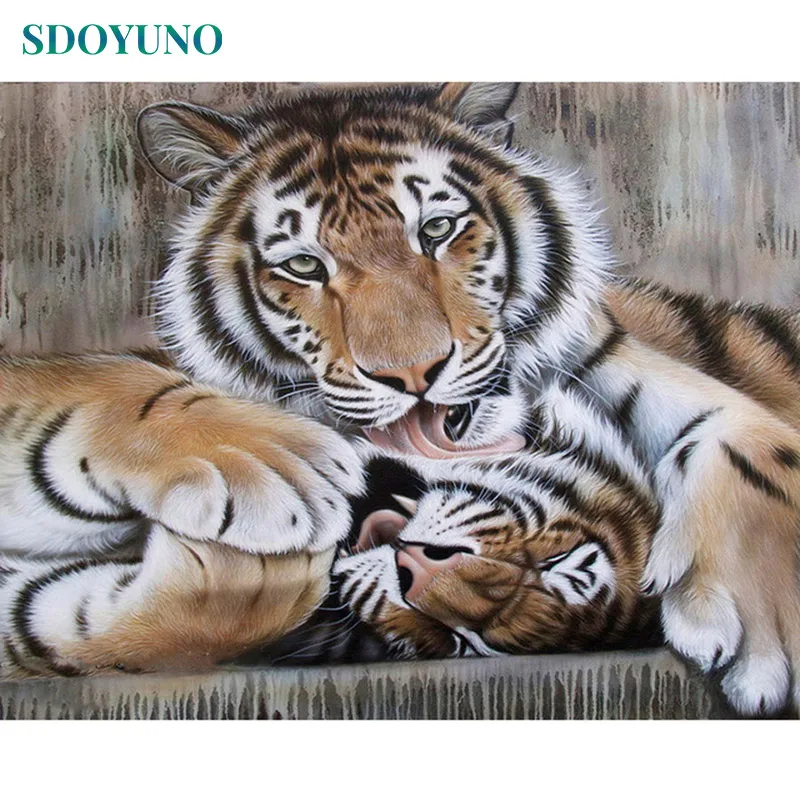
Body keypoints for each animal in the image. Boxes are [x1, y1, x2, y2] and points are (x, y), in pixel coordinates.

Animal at [1, 82, 800, 717]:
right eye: (303, 265)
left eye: (437, 229)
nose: (414, 374)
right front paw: (279, 471)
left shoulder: (608, 356)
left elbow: (739, 431)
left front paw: (765, 625)